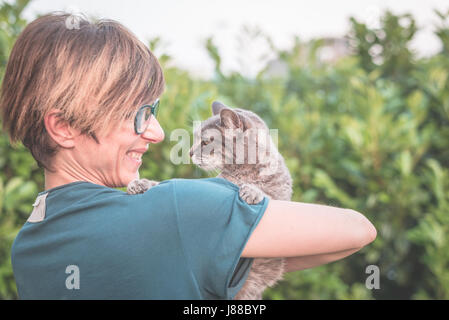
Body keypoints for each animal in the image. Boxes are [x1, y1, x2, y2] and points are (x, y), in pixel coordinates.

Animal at [127, 100, 294, 300]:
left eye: (206, 141)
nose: (190, 153)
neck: (243, 171)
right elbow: (165, 183)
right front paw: (140, 183)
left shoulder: (281, 194)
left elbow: (268, 193)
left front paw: (252, 191)